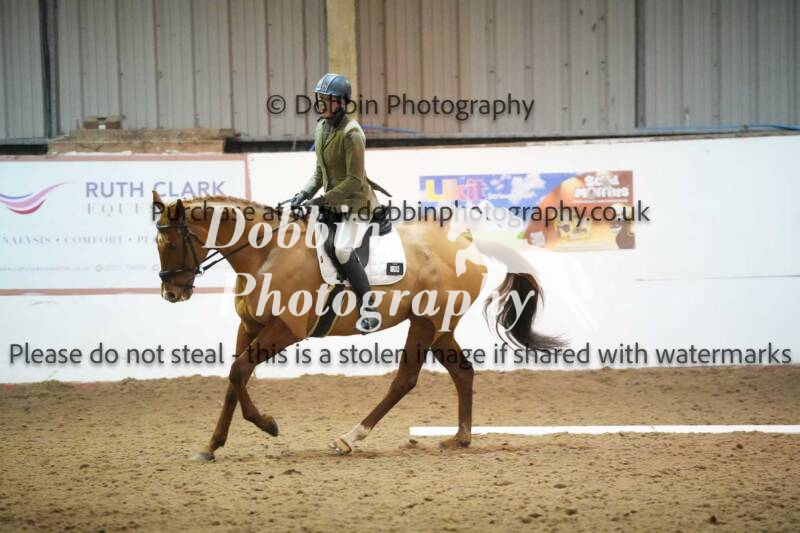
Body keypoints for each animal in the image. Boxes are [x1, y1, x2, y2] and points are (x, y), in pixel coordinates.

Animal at [152, 191, 558, 460]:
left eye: (170, 243)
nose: (171, 293)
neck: (267, 252)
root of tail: (465, 244)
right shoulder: (250, 326)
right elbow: (235, 378)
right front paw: (211, 446)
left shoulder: (285, 329)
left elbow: (239, 371)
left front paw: (267, 424)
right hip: (440, 328)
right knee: (463, 372)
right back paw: (459, 439)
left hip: (425, 324)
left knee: (405, 380)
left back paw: (349, 437)